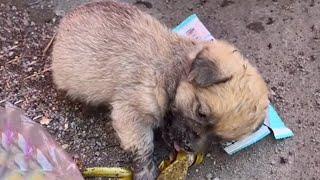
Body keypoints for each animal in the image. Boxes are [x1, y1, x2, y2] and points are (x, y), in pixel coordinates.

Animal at [51, 1, 268, 179]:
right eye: (200, 112)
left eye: (219, 139)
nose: (188, 146)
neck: (172, 70)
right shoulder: (132, 113)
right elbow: (143, 144)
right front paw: (145, 170)